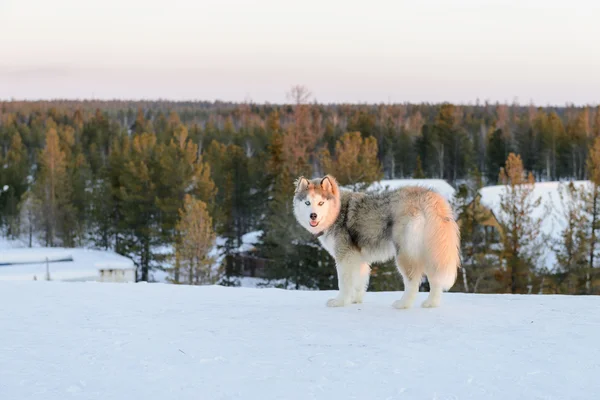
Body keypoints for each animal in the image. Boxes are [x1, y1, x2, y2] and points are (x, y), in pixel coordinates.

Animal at [292, 175, 462, 310]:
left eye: (321, 203)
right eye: (307, 203)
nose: (313, 216)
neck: (338, 212)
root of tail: (427, 196)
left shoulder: (344, 257)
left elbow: (344, 283)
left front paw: (340, 302)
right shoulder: (358, 259)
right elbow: (359, 283)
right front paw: (355, 300)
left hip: (404, 253)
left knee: (413, 281)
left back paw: (403, 304)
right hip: (431, 251)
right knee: (435, 279)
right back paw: (431, 304)